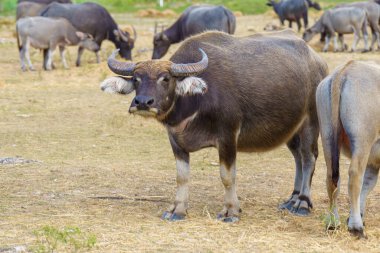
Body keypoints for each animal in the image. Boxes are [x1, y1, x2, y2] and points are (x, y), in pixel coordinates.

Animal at [99, 30, 328, 222]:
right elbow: (182, 177)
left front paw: (231, 211)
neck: (196, 100)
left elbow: (227, 177)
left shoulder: (228, 137)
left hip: (311, 121)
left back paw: (302, 203)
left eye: (166, 79)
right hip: (291, 129)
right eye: (136, 79)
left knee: (309, 157)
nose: (143, 102)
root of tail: (318, 62)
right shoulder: (175, 141)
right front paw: (178, 210)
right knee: (298, 157)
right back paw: (292, 198)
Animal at [318, 60, 380, 238]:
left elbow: (368, 183)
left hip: (327, 134)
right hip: (362, 138)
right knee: (354, 176)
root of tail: (347, 68)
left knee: (332, 178)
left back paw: (334, 223)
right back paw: (356, 227)